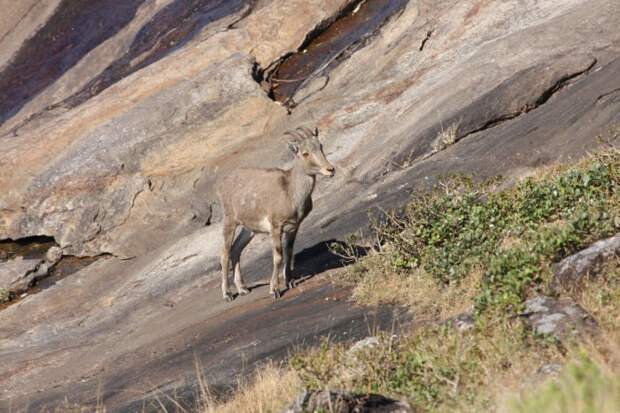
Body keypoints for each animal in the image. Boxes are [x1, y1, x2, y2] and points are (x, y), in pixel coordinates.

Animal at [217, 125, 336, 300]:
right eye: (305, 153)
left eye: (320, 146)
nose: (330, 170)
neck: (290, 191)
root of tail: (223, 184)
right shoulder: (275, 227)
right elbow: (278, 257)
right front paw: (274, 290)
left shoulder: (293, 227)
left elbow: (289, 252)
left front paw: (290, 282)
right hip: (230, 220)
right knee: (224, 253)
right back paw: (227, 293)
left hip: (249, 229)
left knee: (236, 249)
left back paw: (243, 288)